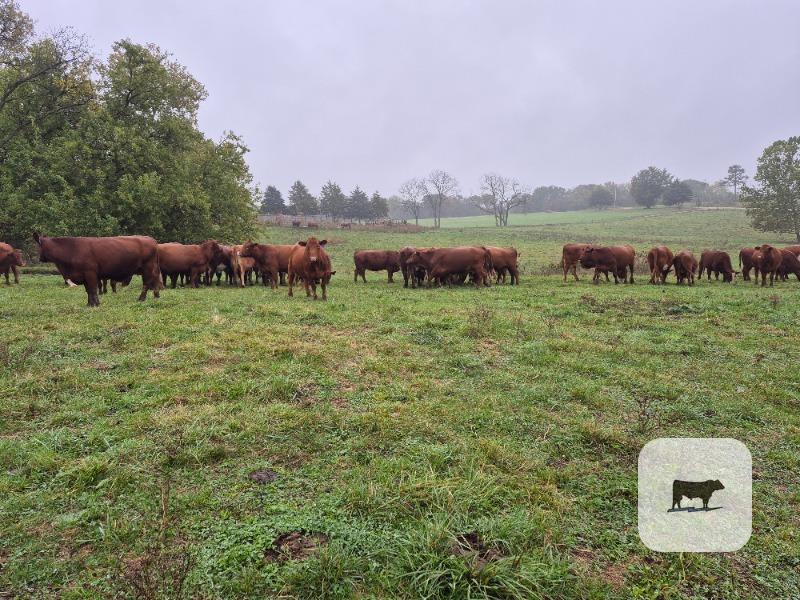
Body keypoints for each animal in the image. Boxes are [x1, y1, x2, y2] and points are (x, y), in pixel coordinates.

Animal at [33, 234, 161, 307]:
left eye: (39, 246)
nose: (39, 258)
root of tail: (151, 239)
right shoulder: (84, 275)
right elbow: (88, 291)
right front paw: (89, 304)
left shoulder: (90, 273)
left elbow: (92, 289)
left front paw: (96, 304)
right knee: (155, 279)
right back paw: (156, 296)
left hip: (147, 267)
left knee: (146, 283)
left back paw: (141, 298)